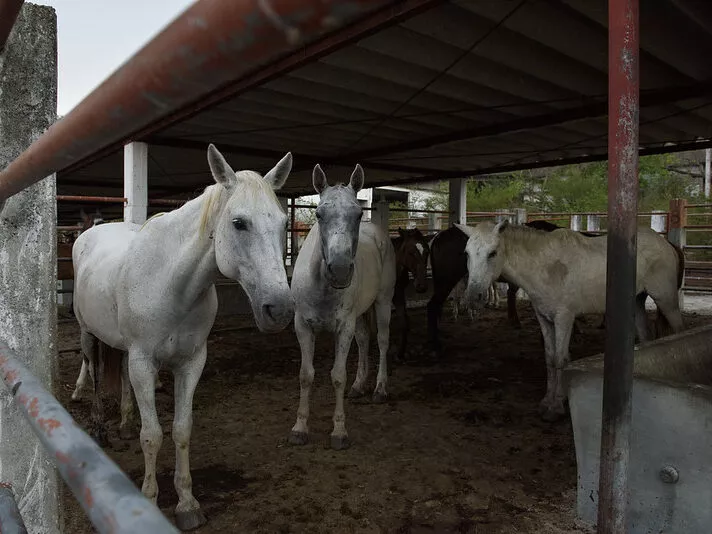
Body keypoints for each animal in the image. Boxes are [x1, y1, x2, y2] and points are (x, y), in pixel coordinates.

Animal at [73, 146, 294, 532]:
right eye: (239, 223)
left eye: (284, 224)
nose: (279, 309)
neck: (171, 283)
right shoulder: (144, 362)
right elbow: (153, 435)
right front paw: (149, 499)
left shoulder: (190, 362)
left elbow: (181, 429)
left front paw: (187, 503)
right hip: (89, 334)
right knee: (95, 372)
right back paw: (100, 427)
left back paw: (124, 424)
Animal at [290, 165, 400, 450]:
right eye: (319, 214)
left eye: (358, 213)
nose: (339, 271)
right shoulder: (302, 326)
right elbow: (305, 375)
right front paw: (299, 428)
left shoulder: (344, 327)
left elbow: (338, 376)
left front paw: (339, 432)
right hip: (360, 313)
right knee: (363, 339)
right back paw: (360, 386)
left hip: (383, 302)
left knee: (382, 341)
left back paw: (379, 389)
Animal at [390, 228, 428, 362]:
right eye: (411, 252)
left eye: (427, 252)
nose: (421, 286)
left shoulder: (398, 293)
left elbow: (404, 322)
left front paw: (400, 354)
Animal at [456, 222, 684, 422]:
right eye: (467, 253)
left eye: (493, 253)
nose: (474, 296)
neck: (544, 266)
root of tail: (667, 245)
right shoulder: (544, 318)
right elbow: (549, 359)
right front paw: (547, 401)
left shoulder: (564, 318)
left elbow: (560, 359)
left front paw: (556, 407)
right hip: (636, 303)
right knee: (646, 338)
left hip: (666, 301)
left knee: (679, 330)